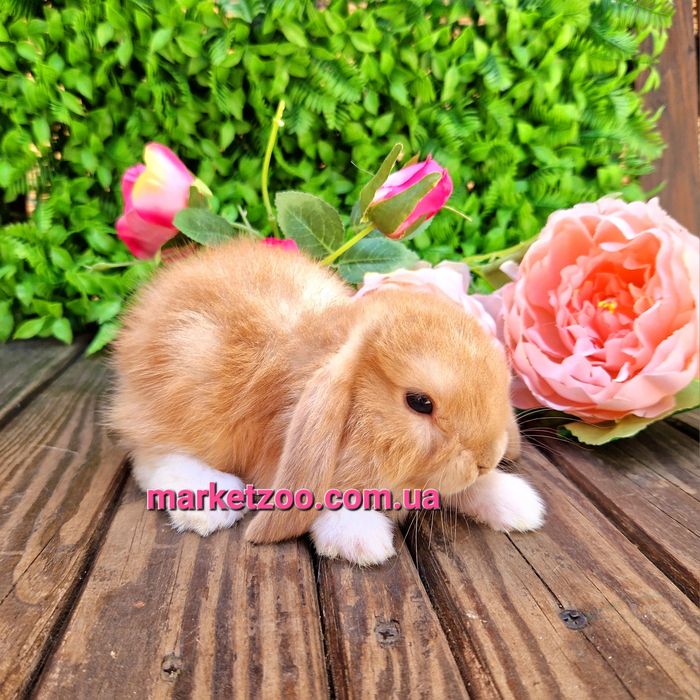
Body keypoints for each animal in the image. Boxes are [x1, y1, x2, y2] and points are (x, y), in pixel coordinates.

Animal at [109, 236, 545, 565]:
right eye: (420, 402)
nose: (487, 457)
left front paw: (518, 504)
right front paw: (359, 538)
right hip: (174, 402)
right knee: (150, 457)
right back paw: (207, 505)